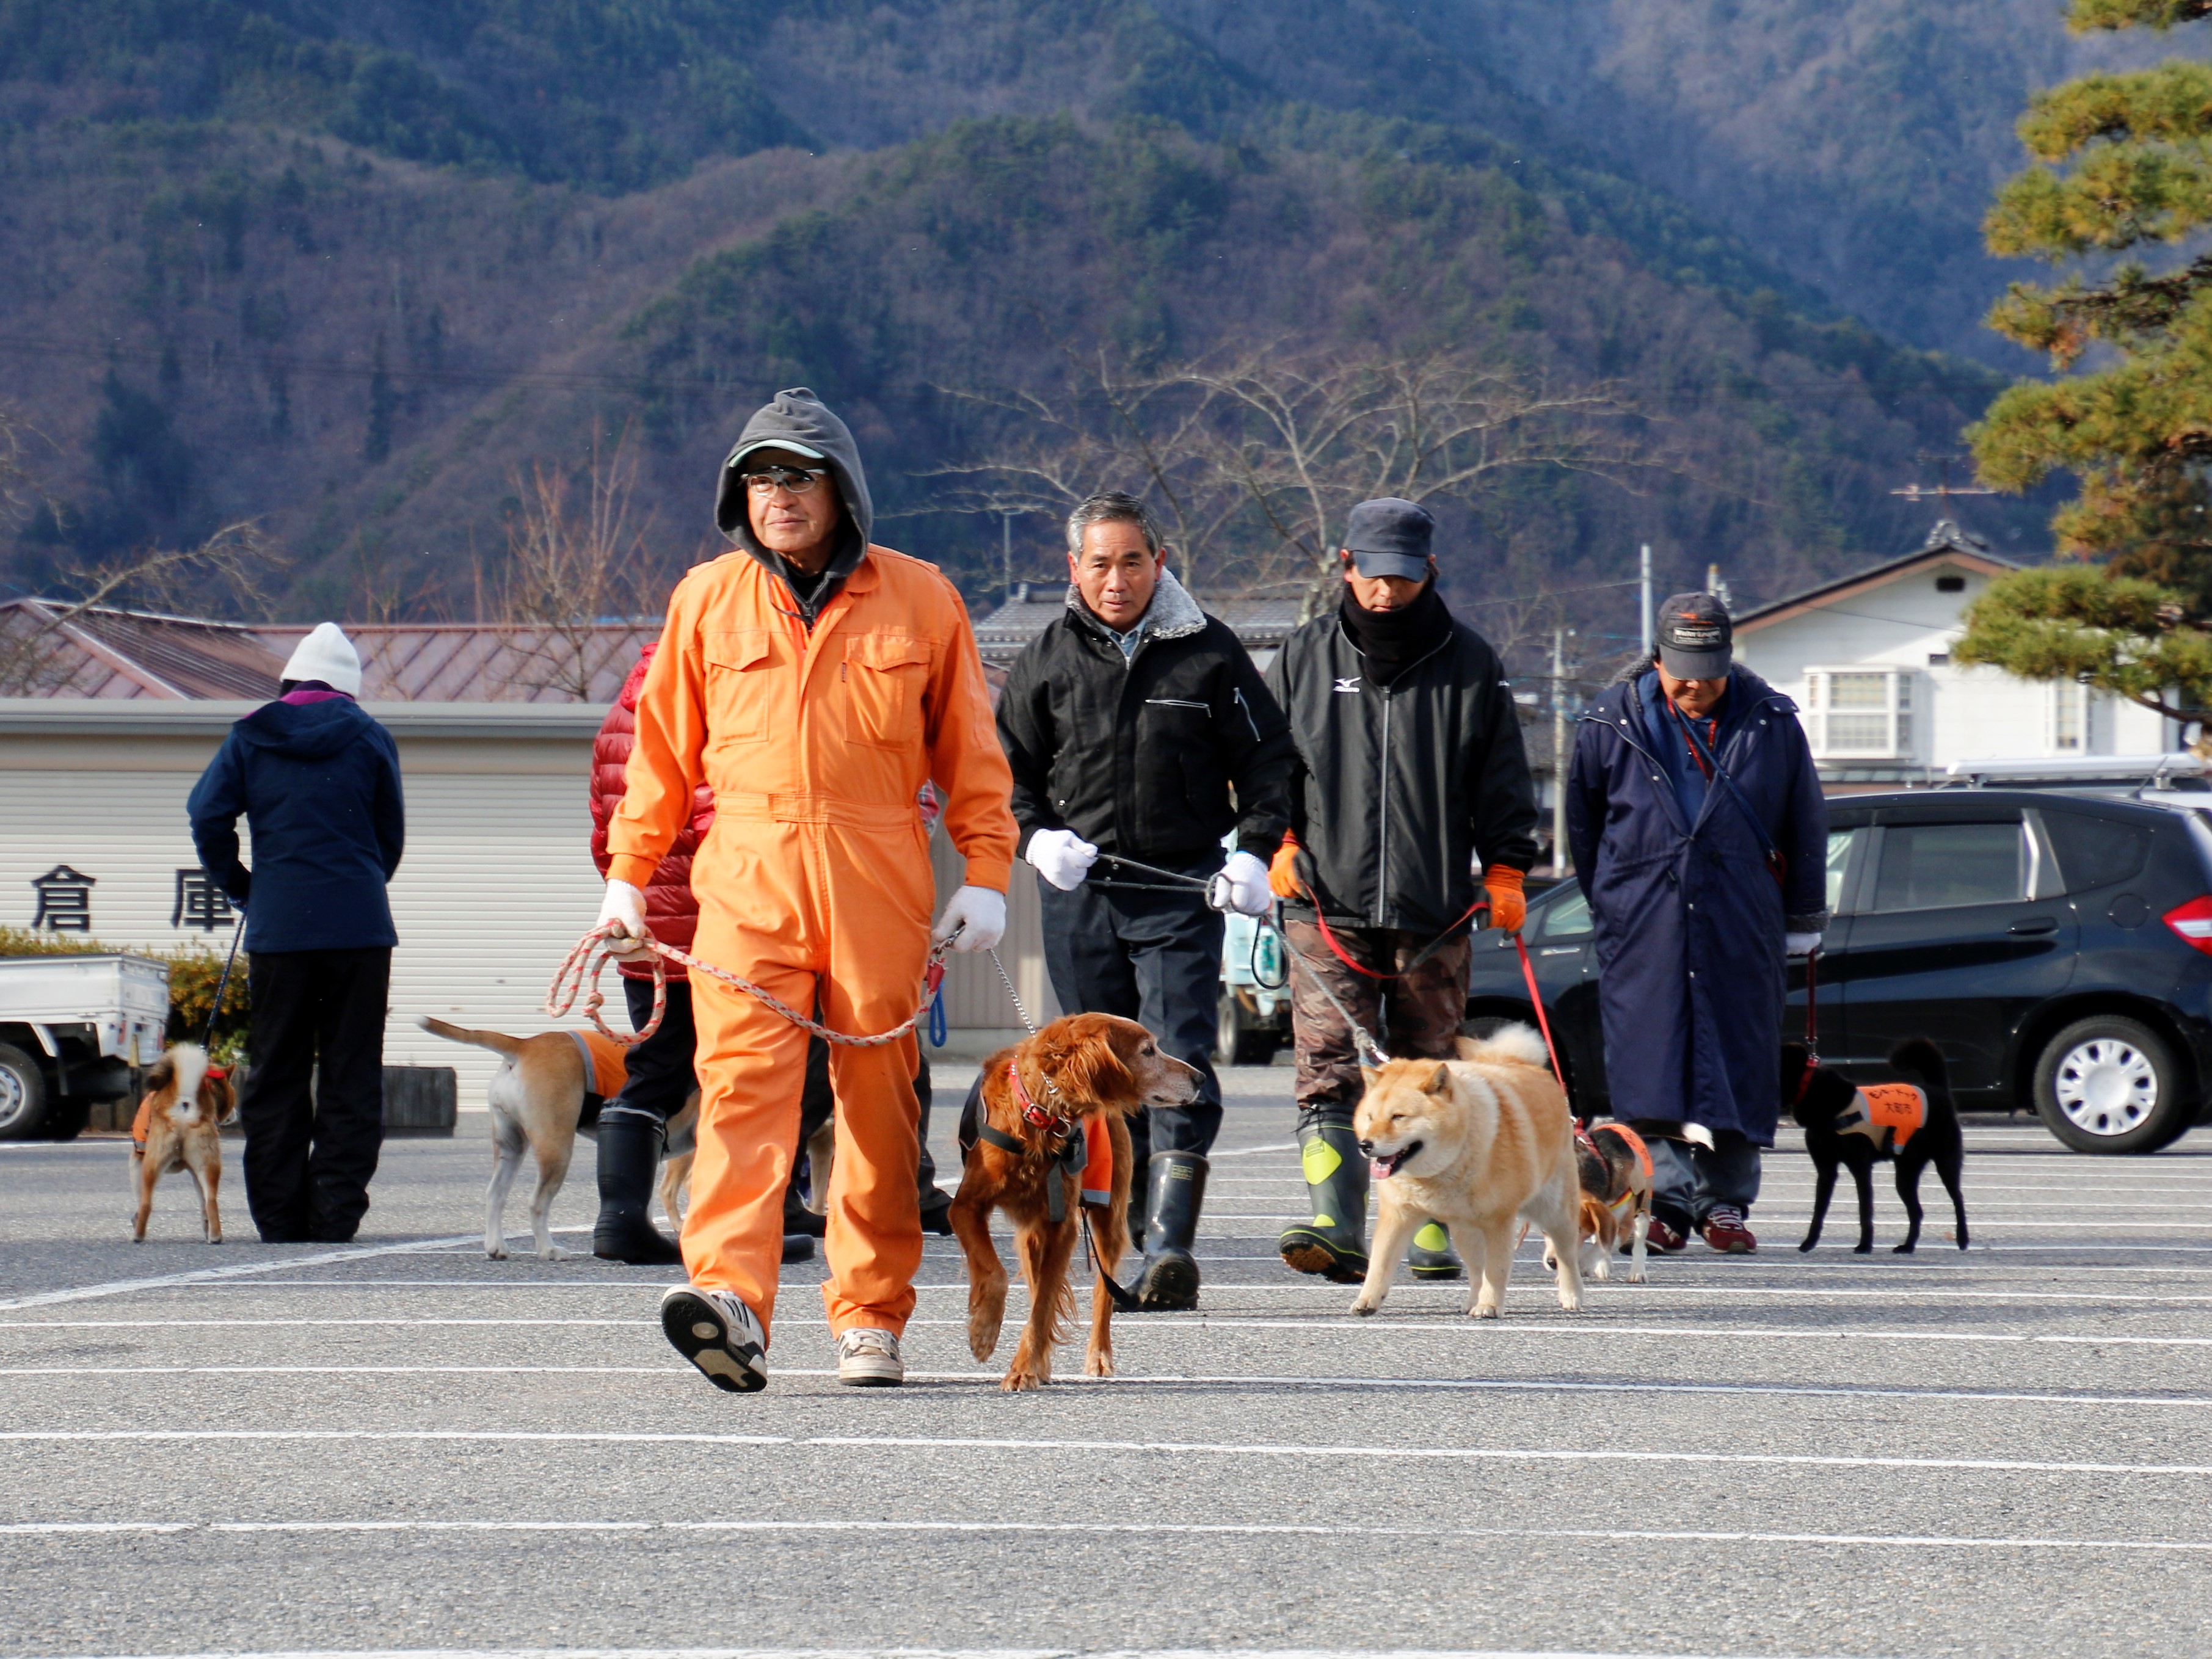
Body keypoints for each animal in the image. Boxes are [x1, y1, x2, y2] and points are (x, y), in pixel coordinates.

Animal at [129, 1039, 235, 1247]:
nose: (236, 1113)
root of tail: (185, 1102)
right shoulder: (194, 1172)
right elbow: (203, 1205)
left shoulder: (136, 1161)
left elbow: (138, 1198)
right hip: (208, 1164)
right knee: (211, 1201)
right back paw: (215, 1237)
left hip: (151, 1164)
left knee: (146, 1203)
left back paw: (138, 1235)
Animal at [947, 1013, 1194, 1389]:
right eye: (1148, 1051)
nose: (1201, 1077)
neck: (1039, 1114)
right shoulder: (965, 1207)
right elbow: (995, 1272)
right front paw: (984, 1331)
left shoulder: (1062, 1227)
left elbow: (1044, 1304)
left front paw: (1022, 1368)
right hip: (1031, 1235)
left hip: (1108, 1218)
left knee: (1103, 1293)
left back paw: (1099, 1357)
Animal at [1336, 1026, 1584, 1327]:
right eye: (1370, 1117)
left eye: (1398, 1117)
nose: (1366, 1145)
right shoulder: (1397, 1216)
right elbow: (1380, 1264)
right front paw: (1367, 1301)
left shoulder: (1500, 1222)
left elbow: (1497, 1270)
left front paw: (1490, 1305)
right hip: (1465, 1232)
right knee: (1476, 1270)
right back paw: (1471, 1302)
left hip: (1555, 1212)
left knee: (1566, 1255)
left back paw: (1571, 1296)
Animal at [1778, 1039, 1973, 1256]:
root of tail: (1937, 1087)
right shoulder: (1826, 1170)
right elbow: (1819, 1210)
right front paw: (1809, 1242)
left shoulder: (1861, 1168)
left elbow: (1865, 1209)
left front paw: (1865, 1245)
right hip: (1906, 1171)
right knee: (1917, 1211)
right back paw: (1908, 1246)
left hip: (1946, 1161)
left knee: (1958, 1199)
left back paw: (1963, 1238)